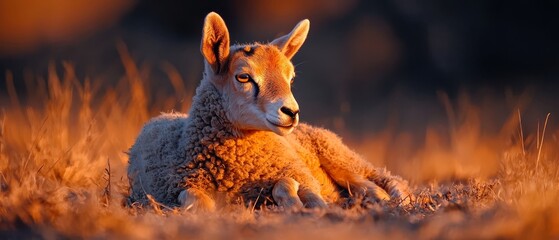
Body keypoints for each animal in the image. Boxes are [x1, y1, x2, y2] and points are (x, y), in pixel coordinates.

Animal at [129, 12, 414, 211]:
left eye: (291, 78)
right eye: (243, 77)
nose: (291, 111)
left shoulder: (303, 176)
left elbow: (297, 190)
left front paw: (304, 206)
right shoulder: (175, 187)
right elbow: (195, 199)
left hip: (343, 159)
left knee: (385, 182)